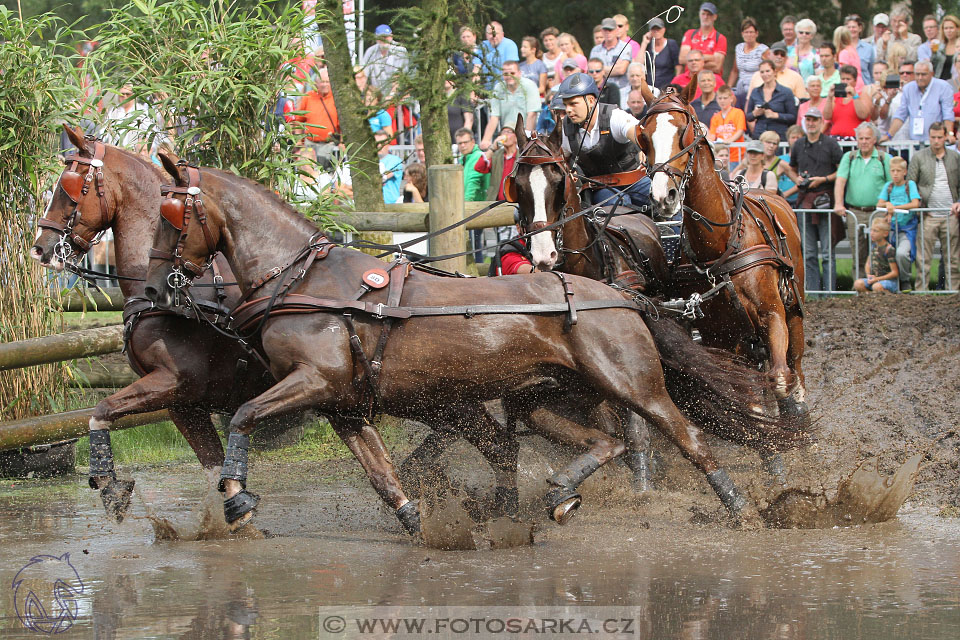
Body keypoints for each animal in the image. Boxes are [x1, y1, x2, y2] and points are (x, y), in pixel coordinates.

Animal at [30, 127, 276, 524]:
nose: (41, 248)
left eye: (69, 188)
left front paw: (110, 486)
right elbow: (213, 469)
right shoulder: (183, 404)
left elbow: (101, 411)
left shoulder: (170, 381)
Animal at [144, 155, 772, 528]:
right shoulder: (341, 403)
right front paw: (417, 522)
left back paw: (743, 507)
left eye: (171, 216)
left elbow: (243, 414)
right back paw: (560, 491)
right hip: (543, 399)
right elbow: (380, 472)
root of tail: (620, 296)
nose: (153, 285)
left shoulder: (314, 381)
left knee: (688, 438)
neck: (304, 283)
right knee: (605, 441)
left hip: (635, 384)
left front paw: (236, 495)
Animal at [636, 80, 808, 420]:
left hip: (794, 306)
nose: (663, 197)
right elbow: (749, 394)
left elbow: (780, 379)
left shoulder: (772, 312)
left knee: (795, 364)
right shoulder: (722, 337)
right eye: (644, 135)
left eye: (684, 131)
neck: (721, 245)